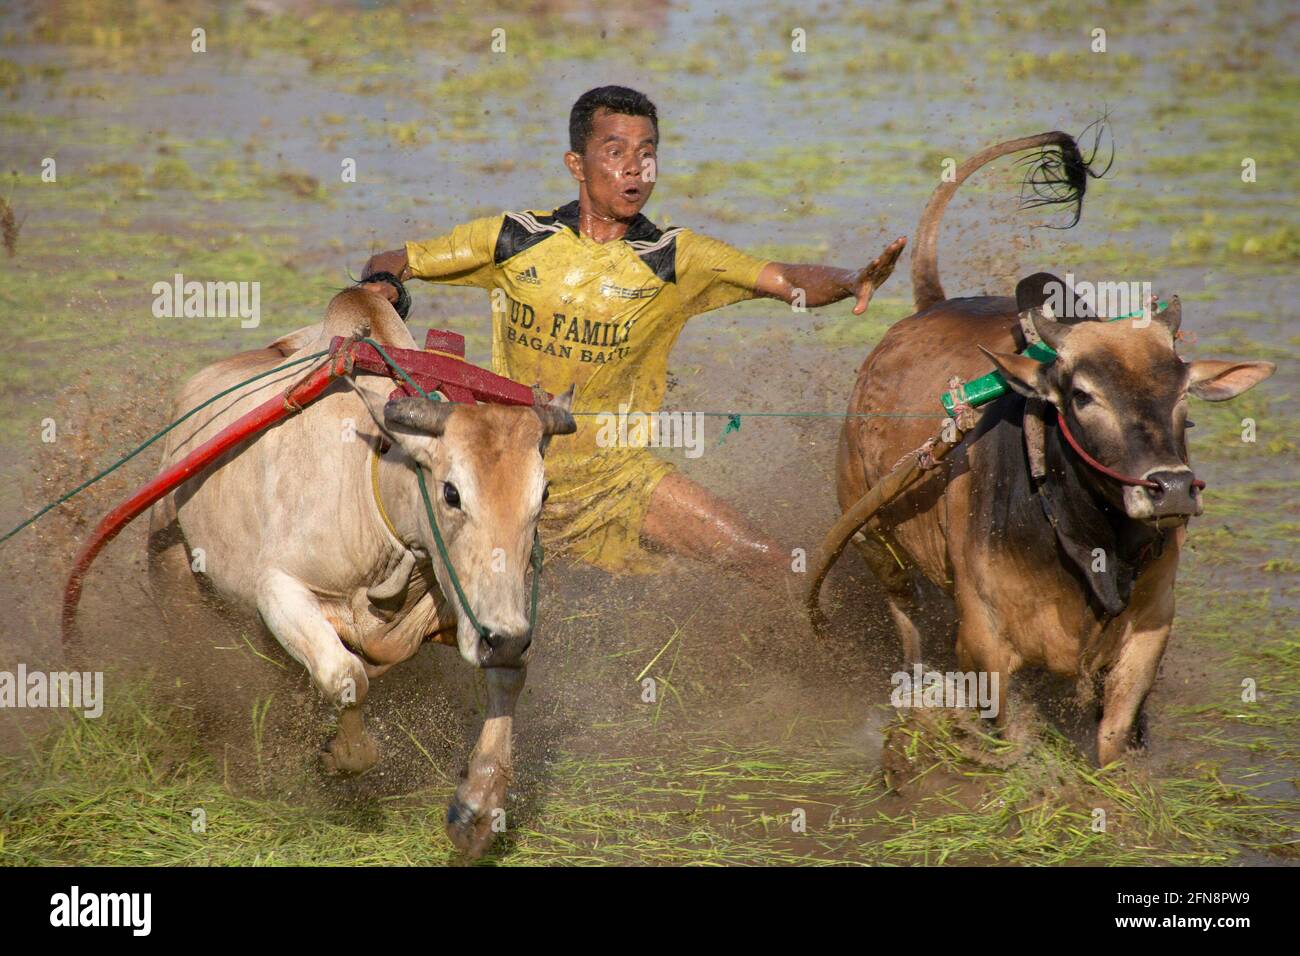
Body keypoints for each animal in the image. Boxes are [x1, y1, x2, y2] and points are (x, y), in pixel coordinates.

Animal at [146, 287, 574, 858]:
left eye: (542, 496)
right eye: (452, 493)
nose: (501, 638)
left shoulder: (489, 617)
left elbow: (510, 675)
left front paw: (477, 807)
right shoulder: (278, 589)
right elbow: (346, 676)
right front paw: (341, 756)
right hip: (171, 564)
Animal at [832, 132, 1268, 764]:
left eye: (1184, 393)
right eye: (1083, 395)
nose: (1172, 490)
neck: (1088, 536)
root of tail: (927, 306)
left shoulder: (1150, 628)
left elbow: (1113, 735)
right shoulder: (985, 644)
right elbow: (1012, 734)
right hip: (875, 542)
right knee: (906, 620)